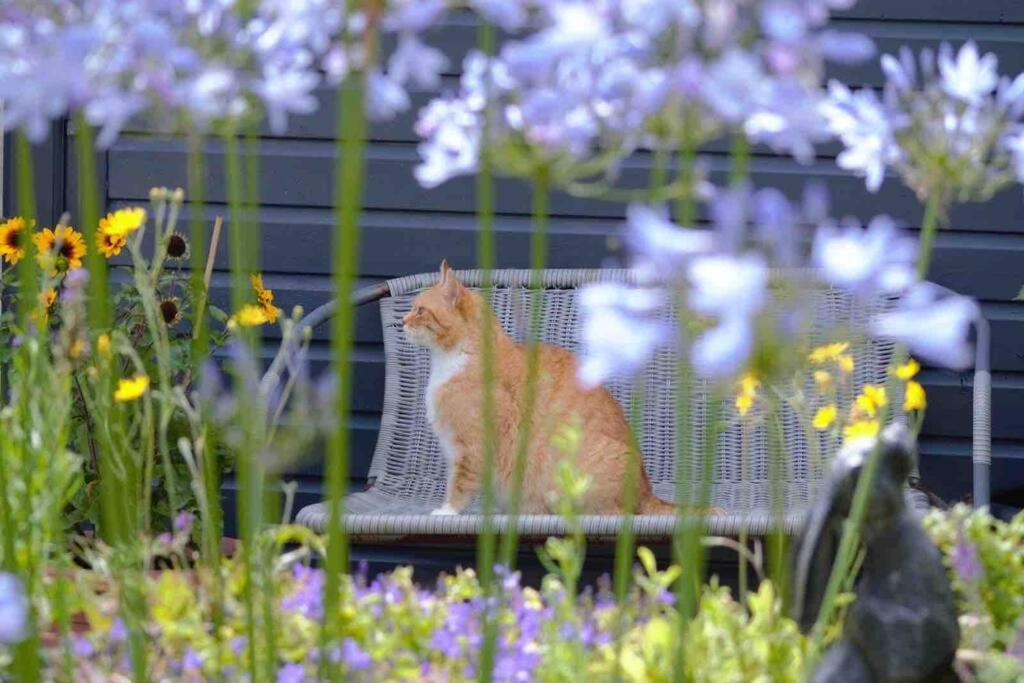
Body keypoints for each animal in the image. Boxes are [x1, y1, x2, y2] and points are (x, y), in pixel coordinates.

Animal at [399, 259, 679, 516]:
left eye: (420, 310)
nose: (402, 320)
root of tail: (647, 493)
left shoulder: (472, 447)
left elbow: (459, 485)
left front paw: (447, 511)